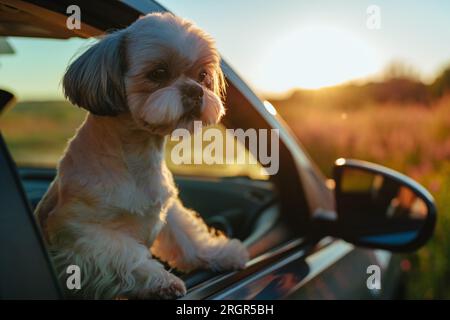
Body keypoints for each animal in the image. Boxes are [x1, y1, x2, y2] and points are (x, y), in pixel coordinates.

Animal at [36, 11, 250, 298]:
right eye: (158, 73)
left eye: (202, 75)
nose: (196, 90)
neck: (138, 154)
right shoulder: (78, 232)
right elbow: (126, 255)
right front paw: (161, 281)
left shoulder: (169, 212)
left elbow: (189, 237)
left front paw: (220, 253)